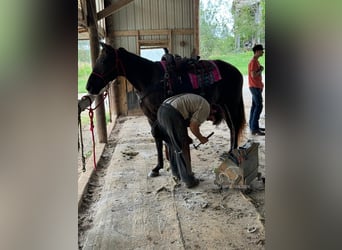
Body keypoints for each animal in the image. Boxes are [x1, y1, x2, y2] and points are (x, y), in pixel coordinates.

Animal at [86, 42, 246, 177]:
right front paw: (158, 167)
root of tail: (236, 71)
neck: (149, 78)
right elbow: (157, 138)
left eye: (104, 61)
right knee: (232, 128)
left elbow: (163, 137)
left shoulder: (159, 115)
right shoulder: (151, 118)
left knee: (234, 126)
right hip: (224, 105)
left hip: (232, 105)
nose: (89, 87)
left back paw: (232, 153)